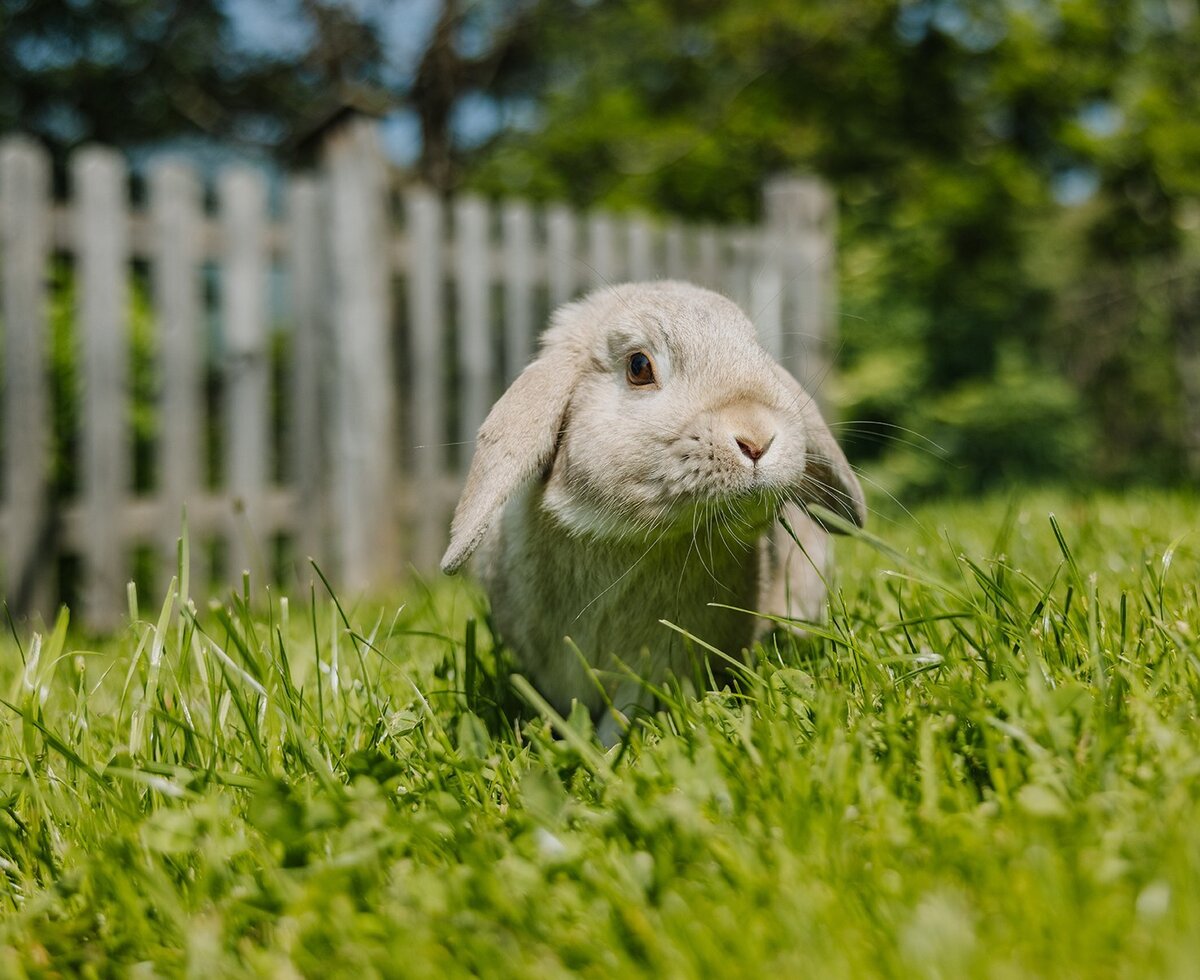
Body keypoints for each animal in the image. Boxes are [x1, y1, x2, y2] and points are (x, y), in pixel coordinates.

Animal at [441, 280, 865, 745]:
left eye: (758, 354)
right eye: (639, 366)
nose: (757, 437)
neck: (632, 541)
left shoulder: (658, 663)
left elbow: (626, 709)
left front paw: (605, 750)